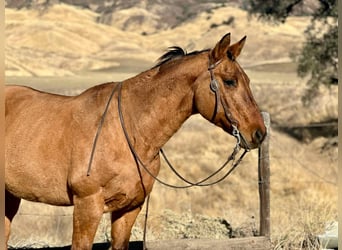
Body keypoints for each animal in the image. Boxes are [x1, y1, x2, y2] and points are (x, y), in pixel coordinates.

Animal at [6, 32, 268, 249]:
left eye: (247, 81)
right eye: (230, 81)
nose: (259, 133)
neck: (128, 132)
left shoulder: (130, 208)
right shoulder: (87, 207)